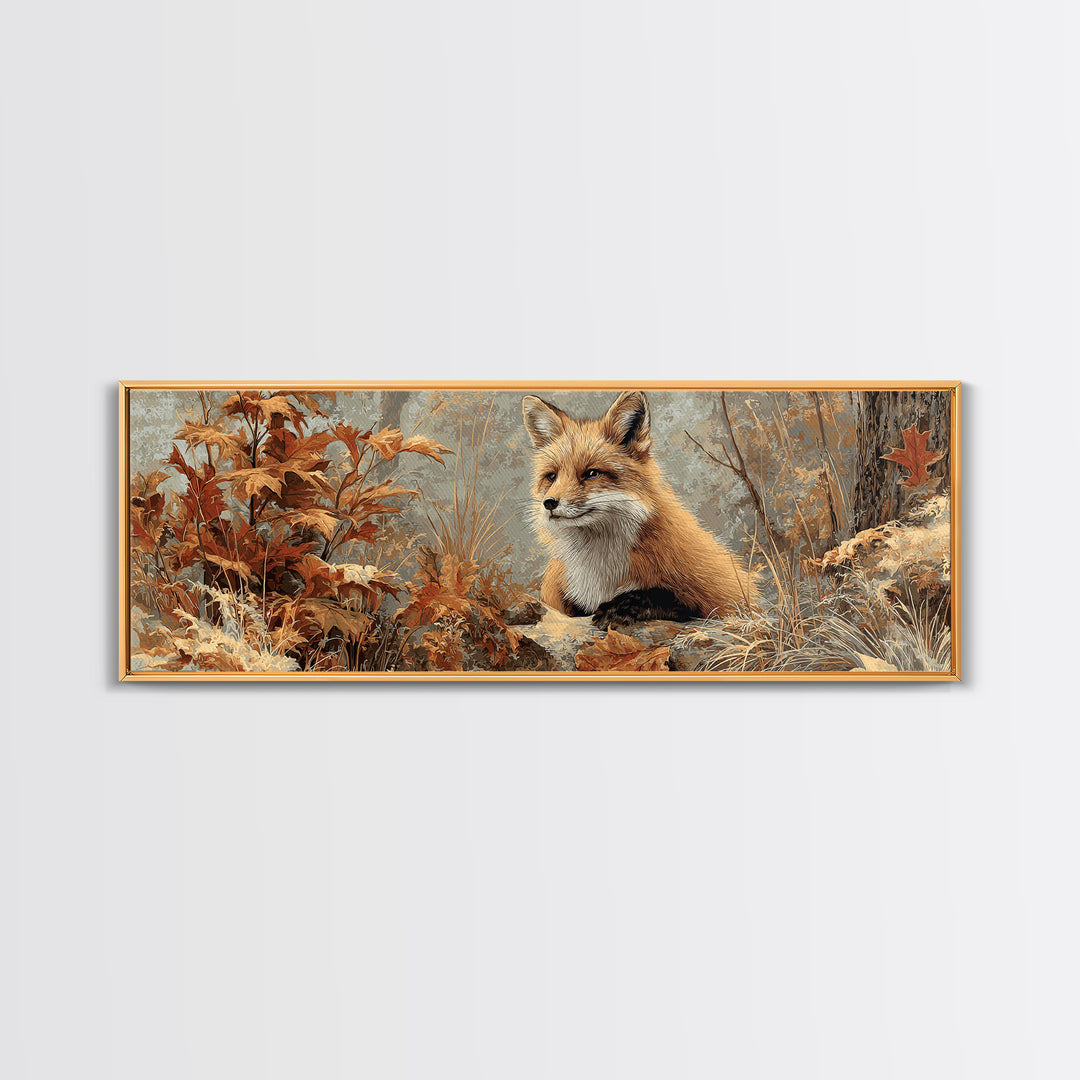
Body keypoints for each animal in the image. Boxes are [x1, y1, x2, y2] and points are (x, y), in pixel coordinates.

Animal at [522, 390, 757, 629]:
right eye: (551, 477)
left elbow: (664, 596)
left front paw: (620, 607)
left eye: (592, 474)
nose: (549, 503)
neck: (600, 567)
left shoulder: (724, 595)